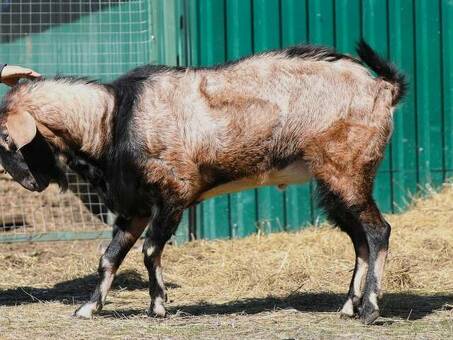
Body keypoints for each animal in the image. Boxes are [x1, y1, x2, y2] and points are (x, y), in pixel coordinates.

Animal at [0, 40, 406, 324]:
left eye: (6, 138)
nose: (31, 184)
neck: (113, 118)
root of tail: (383, 89)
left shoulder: (174, 194)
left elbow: (150, 250)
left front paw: (158, 306)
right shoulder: (135, 207)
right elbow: (109, 257)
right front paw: (87, 309)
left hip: (347, 171)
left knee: (378, 231)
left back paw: (370, 310)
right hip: (333, 183)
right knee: (359, 240)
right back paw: (347, 307)